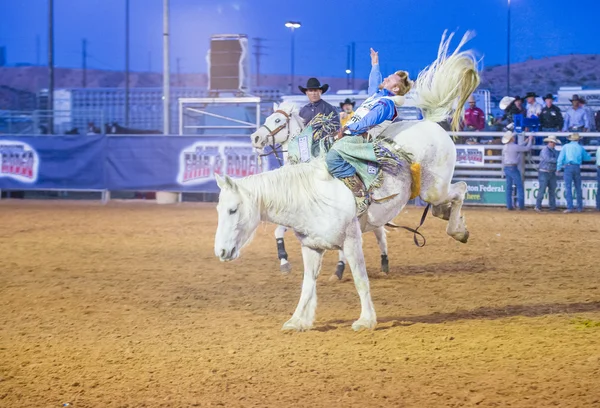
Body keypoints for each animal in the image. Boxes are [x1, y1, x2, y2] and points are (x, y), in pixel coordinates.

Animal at [251, 103, 392, 280]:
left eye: (277, 120)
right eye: (268, 118)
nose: (255, 138)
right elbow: (278, 231)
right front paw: (284, 261)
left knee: (379, 234)